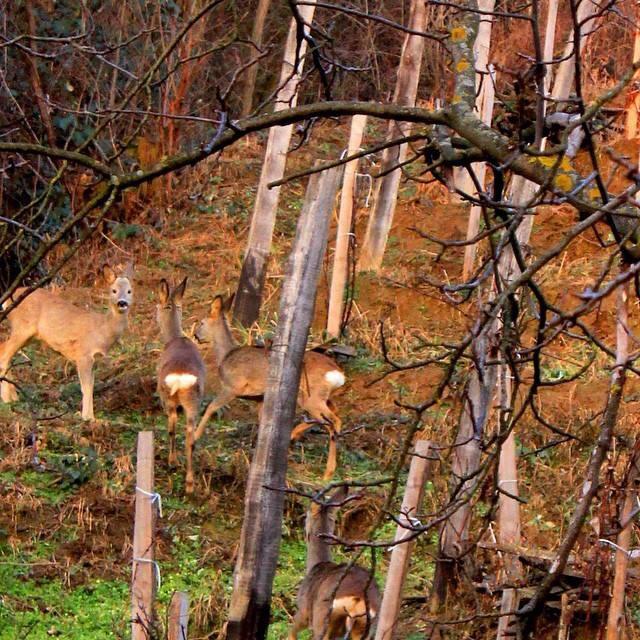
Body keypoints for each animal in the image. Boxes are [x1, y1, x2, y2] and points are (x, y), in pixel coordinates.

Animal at [0, 262, 132, 422]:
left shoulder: (94, 360)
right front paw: (87, 418)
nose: (122, 303)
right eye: (114, 290)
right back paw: (6, 399)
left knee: (4, 350)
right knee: (4, 355)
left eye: (129, 291)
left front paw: (91, 417)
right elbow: (85, 386)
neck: (103, 329)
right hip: (22, 327)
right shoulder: (83, 354)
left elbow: (91, 385)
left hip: (29, 335)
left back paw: (13, 397)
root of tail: (7, 301)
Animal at [194, 296, 348, 480]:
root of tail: (337, 373)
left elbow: (210, 407)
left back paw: (327, 472)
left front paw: (195, 436)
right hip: (321, 396)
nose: (195, 336)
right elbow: (262, 422)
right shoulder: (260, 398)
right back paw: (296, 436)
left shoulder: (233, 386)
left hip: (312, 396)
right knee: (334, 414)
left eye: (202, 322)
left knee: (333, 420)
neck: (226, 356)